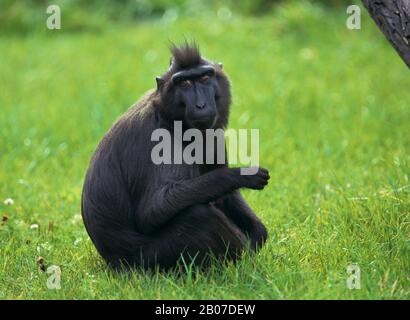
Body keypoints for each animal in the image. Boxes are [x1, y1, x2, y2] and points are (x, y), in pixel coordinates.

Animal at [81, 41, 270, 268]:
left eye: (205, 78)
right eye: (185, 83)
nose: (201, 105)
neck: (168, 117)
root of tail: (113, 260)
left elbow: (226, 195)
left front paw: (257, 232)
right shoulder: (156, 139)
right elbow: (153, 209)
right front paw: (241, 175)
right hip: (150, 259)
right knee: (200, 215)